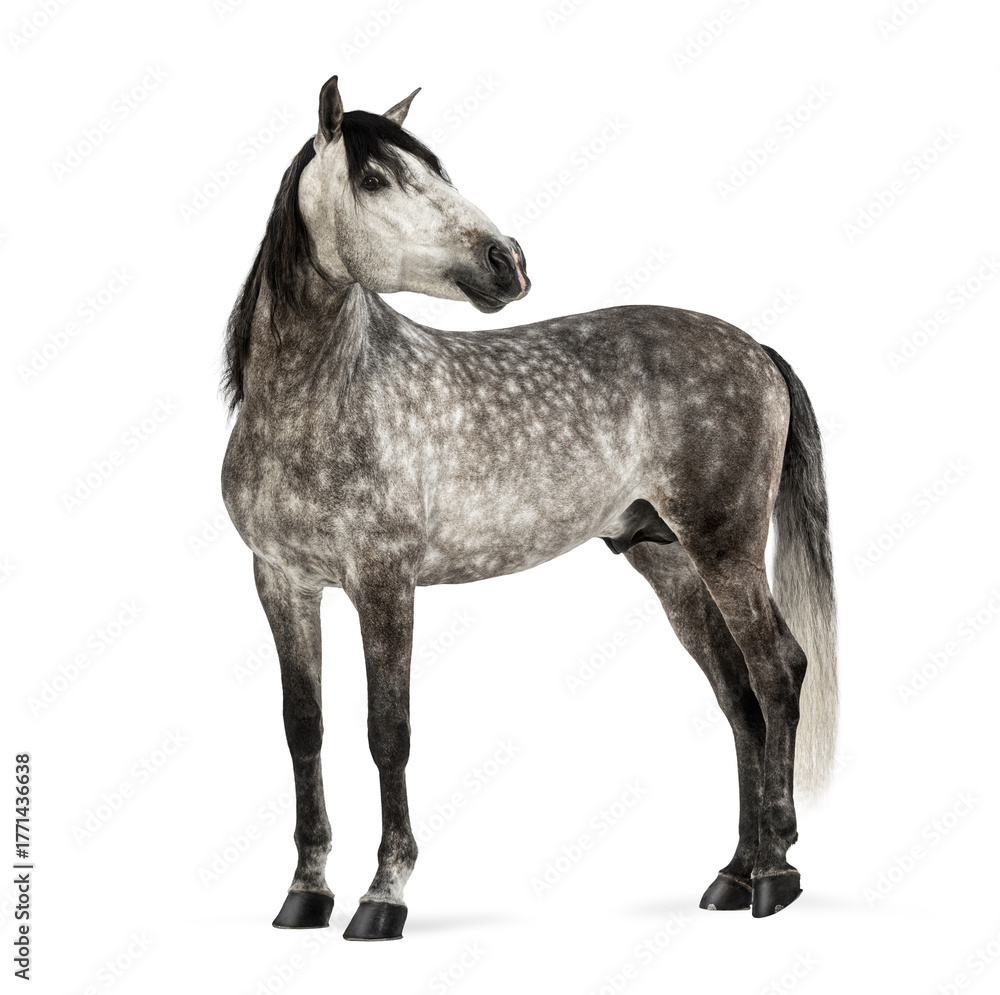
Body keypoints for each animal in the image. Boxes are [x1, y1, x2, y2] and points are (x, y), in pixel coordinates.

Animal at [221, 74, 838, 940]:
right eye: (374, 178)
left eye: (434, 168)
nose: (505, 260)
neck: (318, 400)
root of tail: (756, 348)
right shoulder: (280, 581)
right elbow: (303, 728)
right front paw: (306, 892)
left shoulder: (383, 582)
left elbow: (387, 732)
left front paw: (384, 894)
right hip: (669, 561)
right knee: (739, 697)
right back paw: (731, 874)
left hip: (727, 549)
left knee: (778, 670)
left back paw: (777, 872)